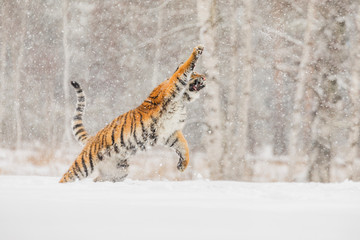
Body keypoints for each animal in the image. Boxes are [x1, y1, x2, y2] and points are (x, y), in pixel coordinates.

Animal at [59, 45, 205, 183]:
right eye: (195, 73)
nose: (204, 77)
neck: (183, 100)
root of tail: (92, 138)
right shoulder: (174, 86)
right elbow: (184, 69)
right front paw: (197, 50)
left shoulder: (171, 132)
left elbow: (184, 146)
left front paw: (182, 165)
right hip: (85, 163)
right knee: (67, 176)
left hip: (118, 171)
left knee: (97, 179)